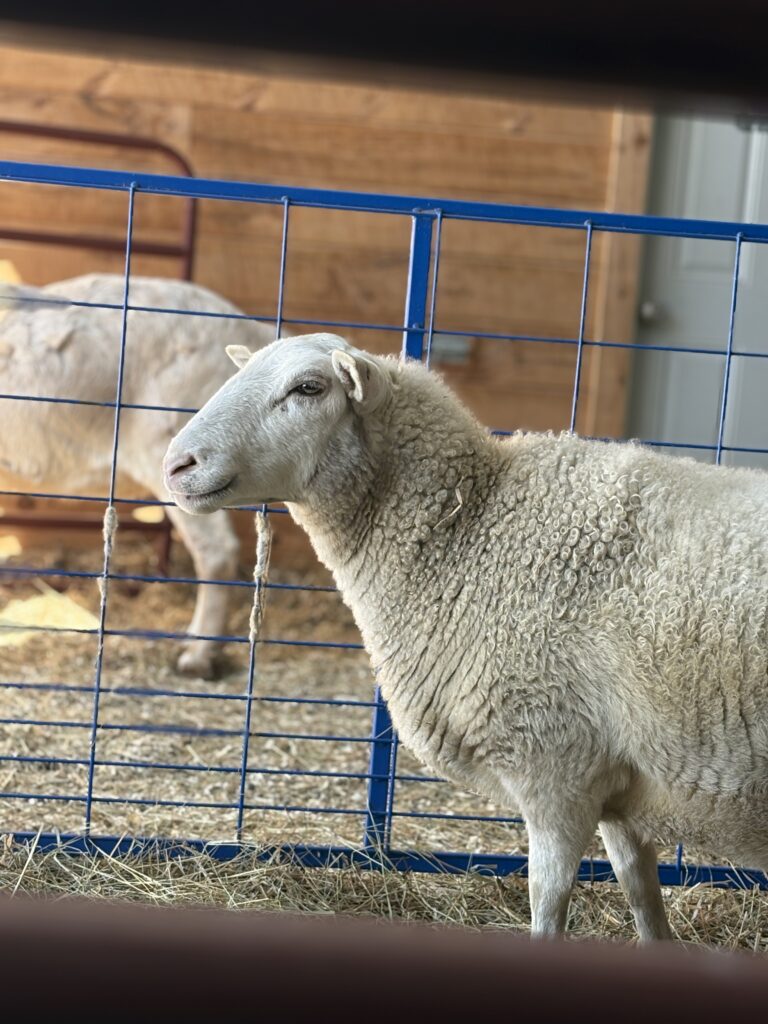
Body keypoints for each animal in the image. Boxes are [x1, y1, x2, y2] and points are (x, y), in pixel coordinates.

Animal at [163, 331, 768, 941]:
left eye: (309, 387)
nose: (176, 464)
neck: (472, 526)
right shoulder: (620, 784)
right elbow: (644, 903)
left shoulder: (555, 767)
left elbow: (548, 904)